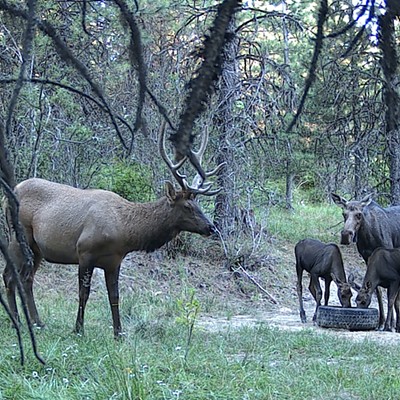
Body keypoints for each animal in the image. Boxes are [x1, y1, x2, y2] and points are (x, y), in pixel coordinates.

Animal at [3, 122, 223, 338]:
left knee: (27, 278)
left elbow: (114, 295)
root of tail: (10, 192)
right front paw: (78, 329)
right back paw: (17, 321)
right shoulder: (85, 252)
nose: (211, 227)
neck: (124, 231)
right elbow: (84, 293)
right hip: (18, 235)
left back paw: (37, 322)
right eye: (187, 206)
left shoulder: (114, 261)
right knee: (9, 275)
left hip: (38, 248)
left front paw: (119, 333)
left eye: (197, 204)